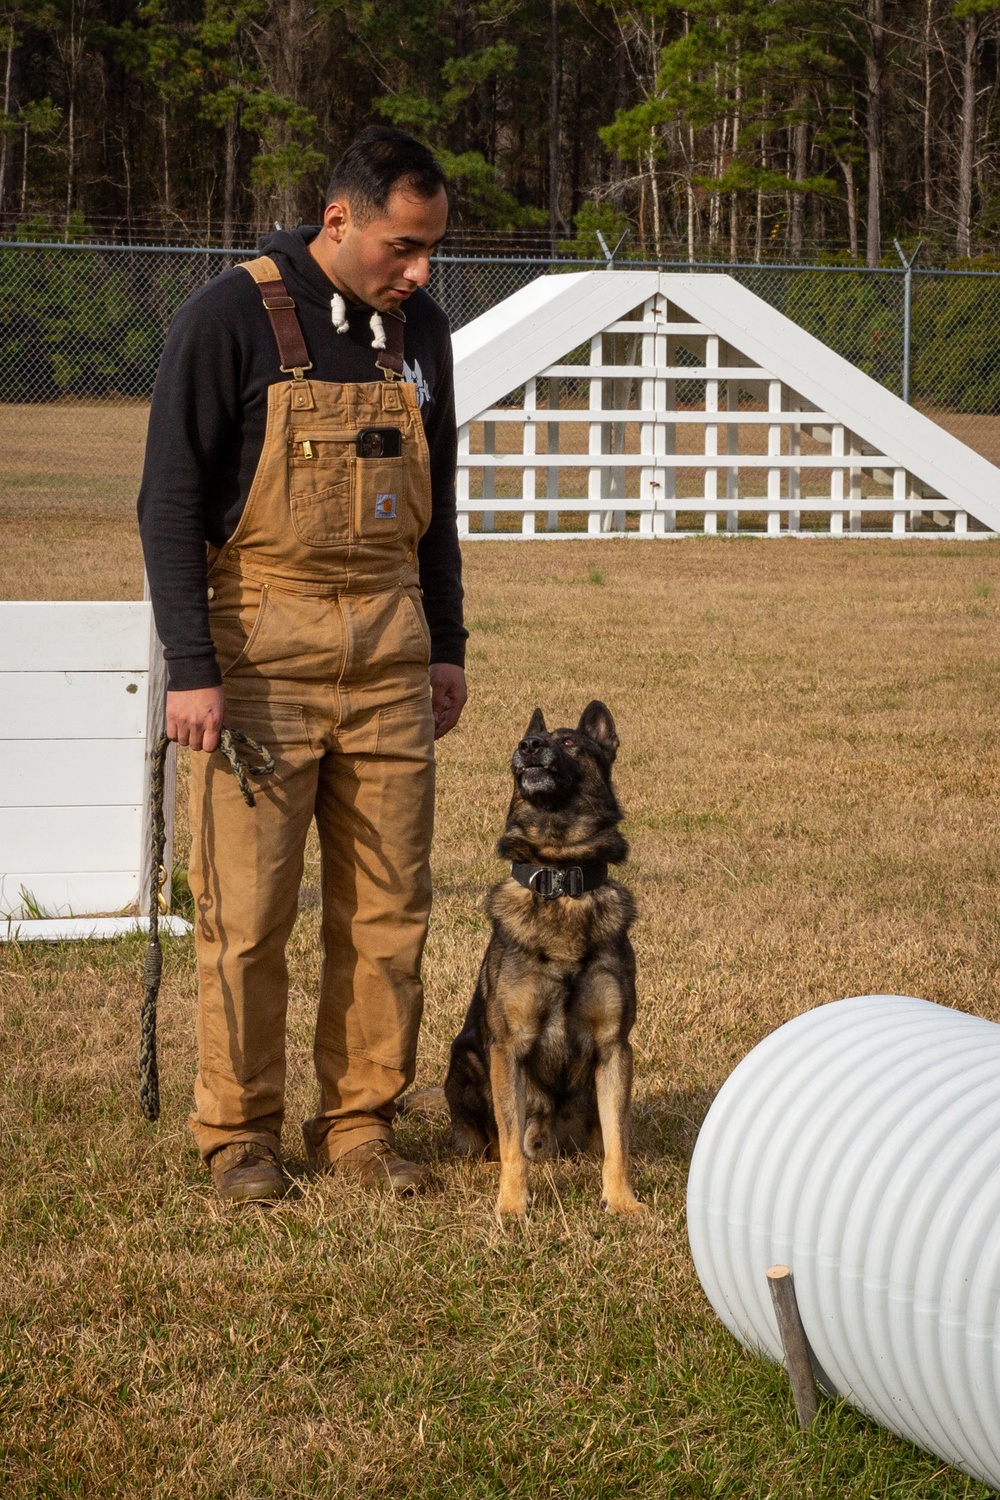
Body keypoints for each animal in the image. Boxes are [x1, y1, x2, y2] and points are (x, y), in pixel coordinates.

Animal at [443, 702, 641, 1218]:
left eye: (570, 741)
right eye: (528, 738)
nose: (529, 746)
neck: (560, 873)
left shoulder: (614, 1048)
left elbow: (619, 1141)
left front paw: (622, 1201)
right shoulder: (507, 1049)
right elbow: (511, 1141)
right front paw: (513, 1205)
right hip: (466, 1059)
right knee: (493, 1142)